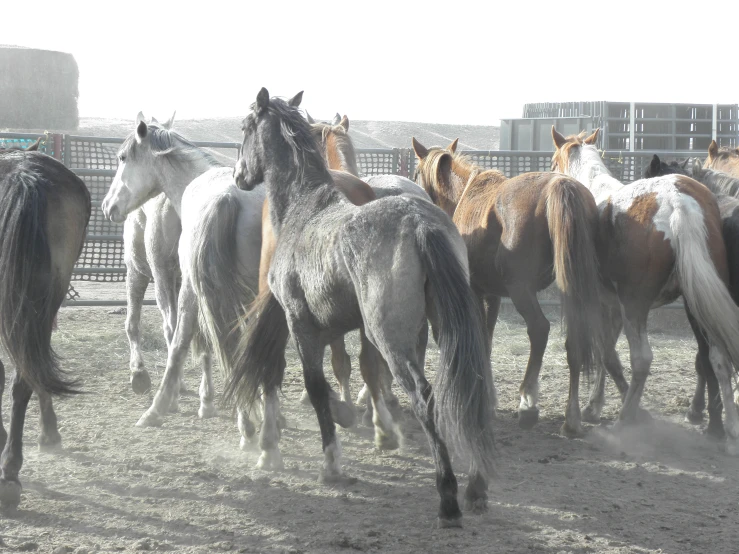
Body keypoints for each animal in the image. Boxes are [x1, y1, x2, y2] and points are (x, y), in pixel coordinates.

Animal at [231, 88, 498, 524]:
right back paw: (476, 485)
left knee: (424, 397)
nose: (239, 176)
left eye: (244, 127)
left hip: (391, 338)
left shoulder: (301, 326)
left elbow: (317, 387)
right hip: (444, 327)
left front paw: (332, 464)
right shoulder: (340, 327)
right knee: (469, 384)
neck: (307, 209)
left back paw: (447, 495)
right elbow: (354, 372)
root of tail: (419, 224)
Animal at [414, 135, 604, 436]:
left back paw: (528, 403)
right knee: (576, 339)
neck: (466, 194)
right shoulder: (492, 295)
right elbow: (488, 341)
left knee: (539, 329)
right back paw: (571, 417)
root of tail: (560, 185)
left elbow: (482, 340)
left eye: (415, 173)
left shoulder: (476, 292)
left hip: (521, 289)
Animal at [552, 126, 739, 448]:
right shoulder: (613, 307)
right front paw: (594, 405)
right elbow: (607, 353)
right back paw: (729, 428)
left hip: (637, 307)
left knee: (642, 359)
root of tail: (677, 201)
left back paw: (625, 420)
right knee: (719, 358)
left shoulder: (603, 305)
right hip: (701, 305)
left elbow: (603, 354)